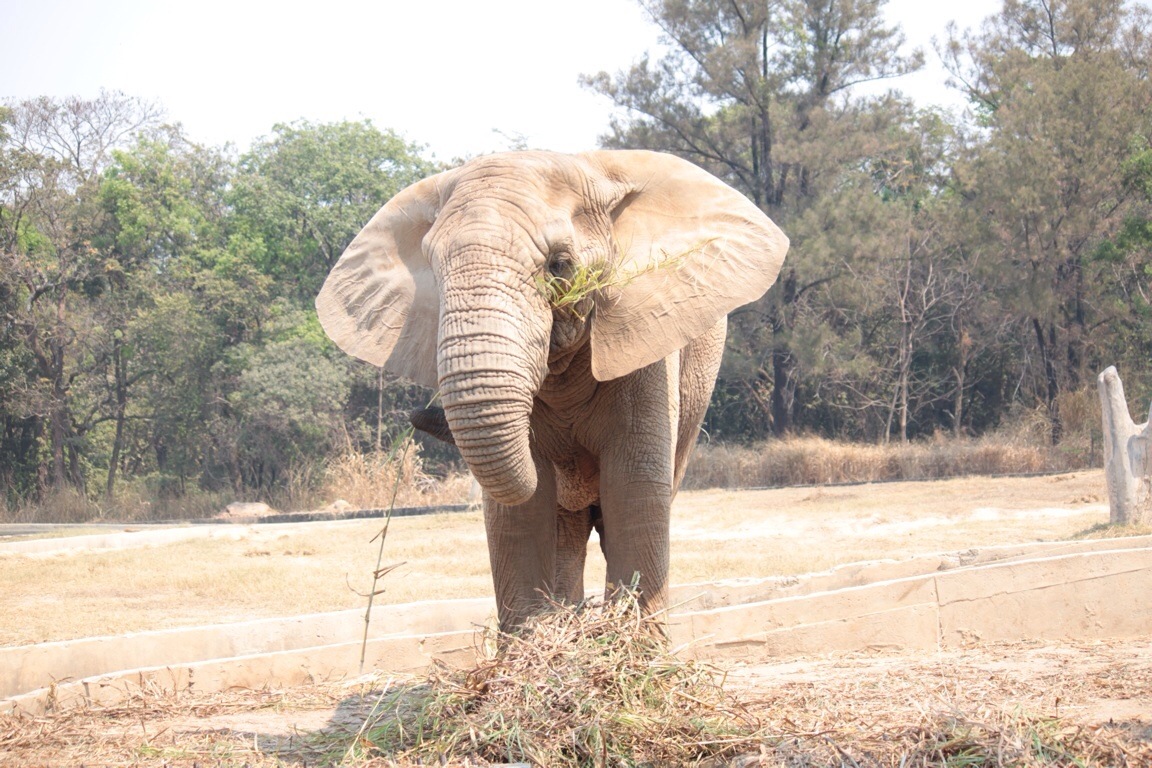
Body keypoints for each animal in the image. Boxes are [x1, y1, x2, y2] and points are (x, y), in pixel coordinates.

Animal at [315, 149, 787, 630]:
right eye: (434, 272)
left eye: (559, 266)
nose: (414, 416)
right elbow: (519, 514)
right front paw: (536, 639)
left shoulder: (645, 344)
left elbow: (634, 488)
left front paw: (632, 645)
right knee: (567, 531)